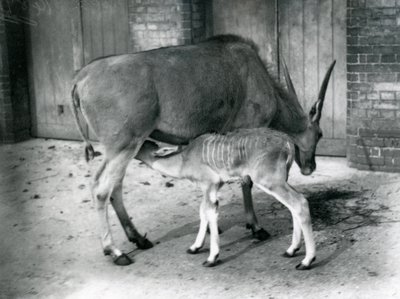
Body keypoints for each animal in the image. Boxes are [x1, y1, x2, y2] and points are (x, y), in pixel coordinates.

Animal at [71, 35, 334, 268]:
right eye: (319, 134)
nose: (310, 167)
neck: (254, 72)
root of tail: (81, 79)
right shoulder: (247, 131)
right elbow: (245, 182)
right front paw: (255, 227)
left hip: (124, 149)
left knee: (115, 187)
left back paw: (138, 238)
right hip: (123, 146)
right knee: (101, 189)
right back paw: (115, 251)